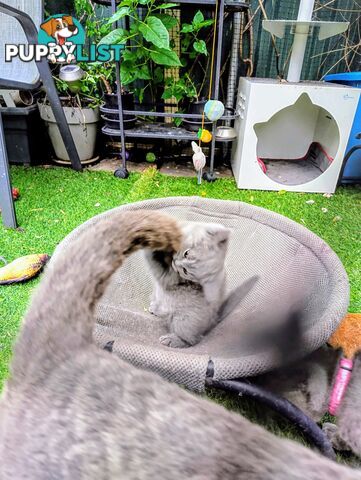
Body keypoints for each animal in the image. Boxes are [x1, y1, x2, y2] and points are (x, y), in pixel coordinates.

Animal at [0, 211, 360, 480]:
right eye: (185, 254)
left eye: (190, 264)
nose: (180, 264)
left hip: (188, 323)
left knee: (190, 339)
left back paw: (170, 336)